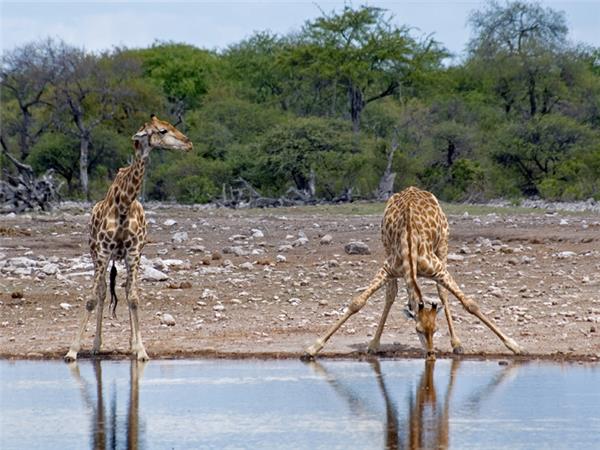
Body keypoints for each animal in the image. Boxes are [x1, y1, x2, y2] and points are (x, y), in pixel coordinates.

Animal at [63, 116, 191, 362]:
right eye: (162, 130)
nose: (188, 143)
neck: (124, 203)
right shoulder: (103, 252)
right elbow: (92, 298)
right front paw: (72, 350)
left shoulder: (133, 252)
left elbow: (133, 298)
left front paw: (140, 349)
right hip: (95, 254)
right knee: (103, 291)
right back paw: (96, 345)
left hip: (133, 256)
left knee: (125, 289)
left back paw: (130, 344)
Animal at [308, 185, 524, 358]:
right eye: (418, 330)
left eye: (436, 329)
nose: (430, 354)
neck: (411, 252)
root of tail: (412, 188)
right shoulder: (387, 268)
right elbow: (357, 303)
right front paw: (313, 348)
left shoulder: (438, 269)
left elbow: (470, 304)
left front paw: (515, 346)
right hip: (385, 246)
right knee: (392, 294)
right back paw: (374, 344)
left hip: (443, 245)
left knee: (442, 293)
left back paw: (457, 344)